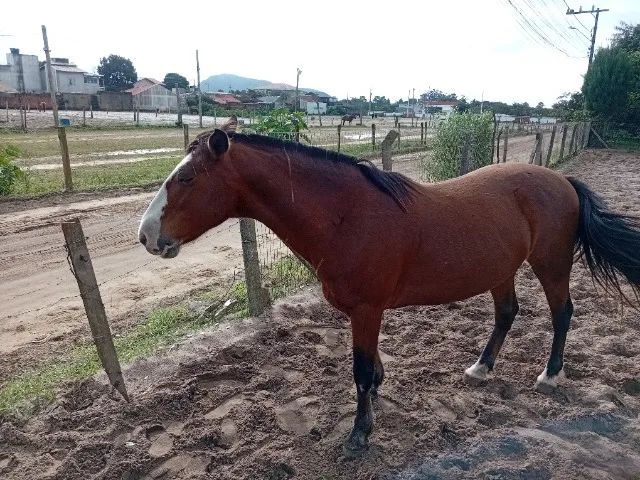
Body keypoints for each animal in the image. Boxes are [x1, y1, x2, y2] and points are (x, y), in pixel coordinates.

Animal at [138, 117, 640, 454]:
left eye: (186, 177)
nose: (145, 236)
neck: (347, 215)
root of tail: (563, 180)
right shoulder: (365, 313)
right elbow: (373, 369)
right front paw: (376, 405)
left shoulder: (367, 310)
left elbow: (361, 371)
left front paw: (360, 433)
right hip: (502, 271)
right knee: (507, 313)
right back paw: (481, 368)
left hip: (551, 265)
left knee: (562, 313)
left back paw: (551, 375)